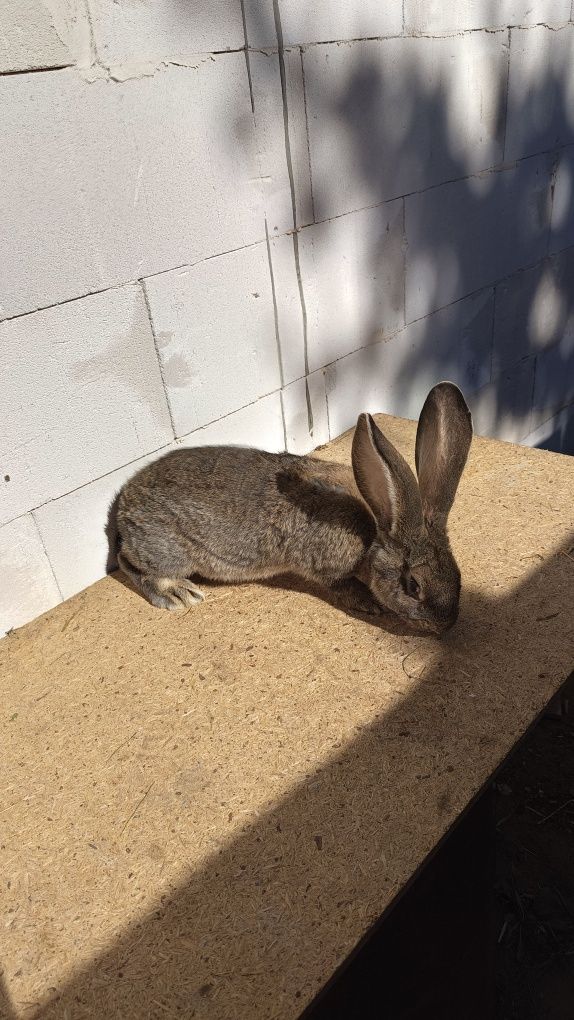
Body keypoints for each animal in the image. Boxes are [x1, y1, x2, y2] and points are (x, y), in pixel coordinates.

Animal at [116, 381, 471, 628]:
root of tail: (122, 506)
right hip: (169, 551)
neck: (375, 529)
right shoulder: (327, 569)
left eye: (458, 576)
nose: (445, 625)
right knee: (128, 562)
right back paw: (177, 593)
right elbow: (340, 587)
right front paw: (369, 603)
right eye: (414, 586)